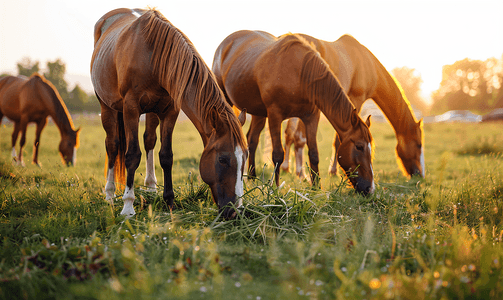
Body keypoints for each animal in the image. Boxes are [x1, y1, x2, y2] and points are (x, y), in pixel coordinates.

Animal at [91, 7, 249, 218]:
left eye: (245, 157)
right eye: (223, 159)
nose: (235, 211)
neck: (152, 56)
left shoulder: (170, 111)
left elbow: (166, 156)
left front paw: (169, 202)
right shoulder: (130, 109)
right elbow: (132, 155)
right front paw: (128, 206)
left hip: (151, 111)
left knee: (149, 140)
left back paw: (151, 188)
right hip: (107, 107)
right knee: (112, 145)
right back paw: (109, 195)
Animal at [213, 30, 374, 195]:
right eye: (359, 146)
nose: (370, 188)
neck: (301, 73)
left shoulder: (311, 117)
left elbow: (313, 153)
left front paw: (316, 188)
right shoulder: (275, 115)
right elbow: (278, 154)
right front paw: (275, 188)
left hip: (258, 112)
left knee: (252, 139)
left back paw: (251, 177)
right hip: (227, 101)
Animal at [282, 33, 424, 178]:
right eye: (419, 145)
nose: (419, 174)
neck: (368, 64)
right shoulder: (356, 99)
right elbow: (338, 140)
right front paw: (335, 171)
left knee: (289, 134)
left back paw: (288, 168)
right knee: (298, 136)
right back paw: (300, 173)